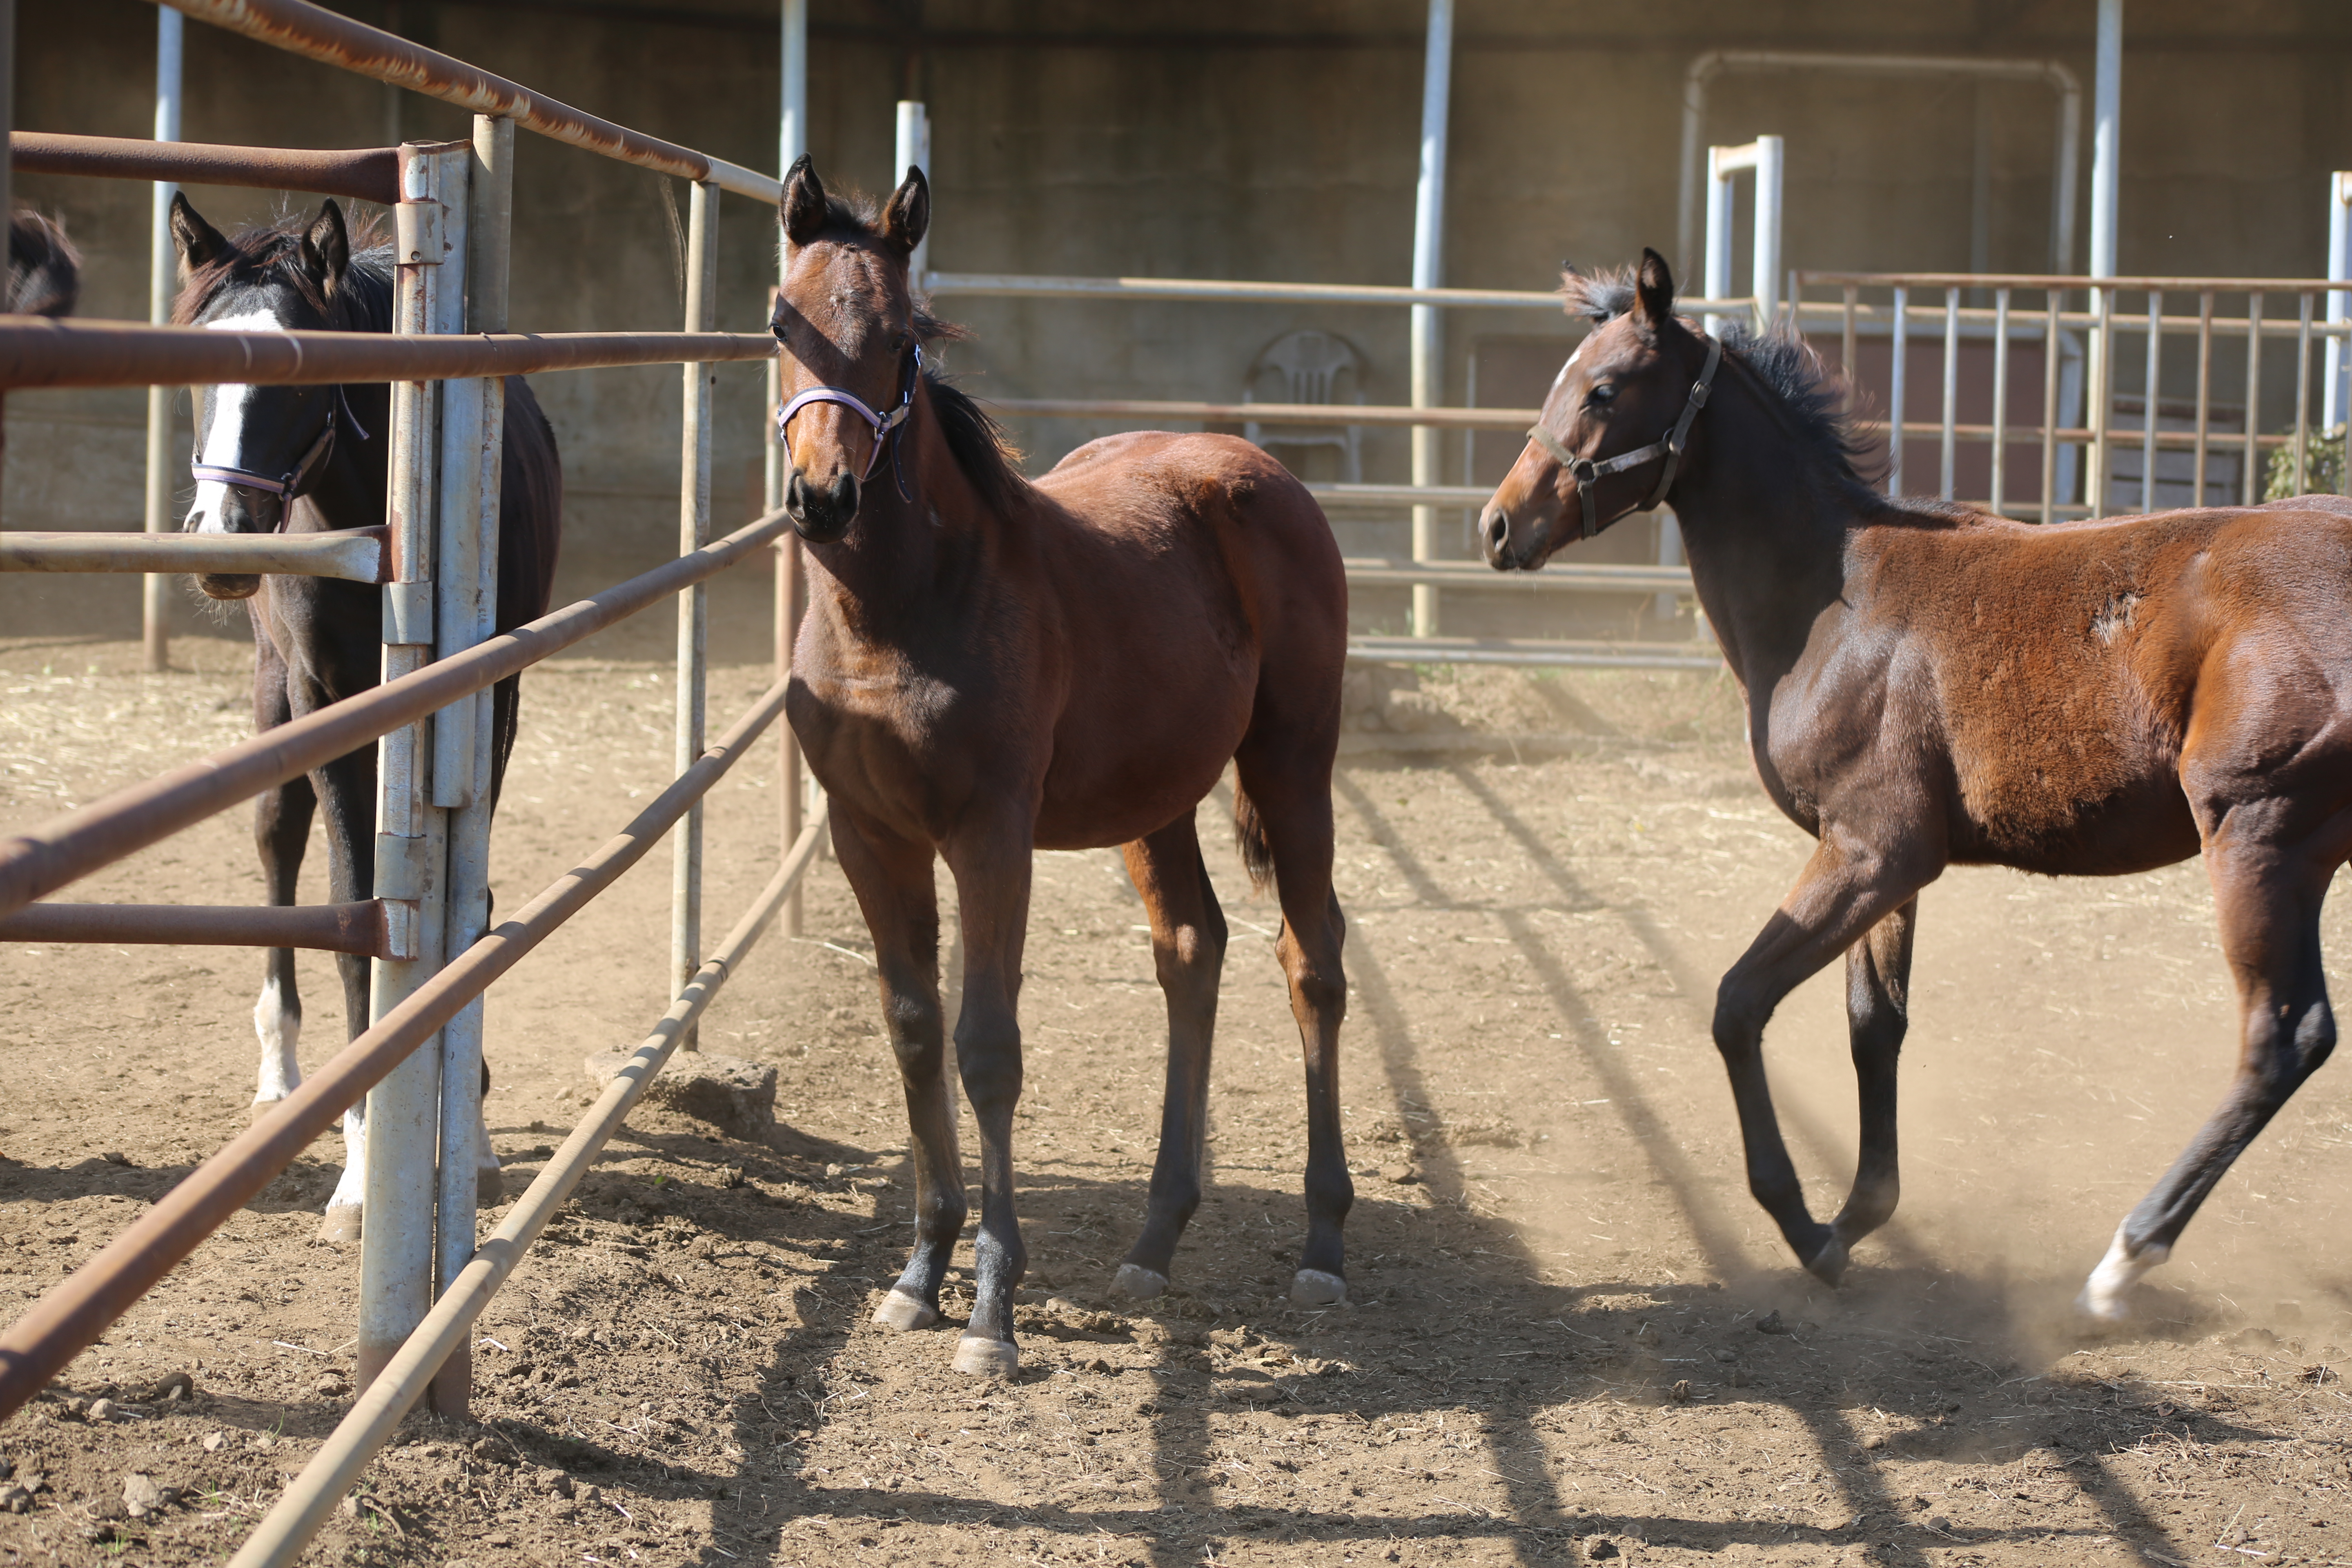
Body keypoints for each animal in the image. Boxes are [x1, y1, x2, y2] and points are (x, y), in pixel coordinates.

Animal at [169, 193, 564, 1241]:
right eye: (193, 362)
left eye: (303, 371)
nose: (222, 541)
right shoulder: (324, 697)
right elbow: (358, 911)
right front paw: (359, 1175)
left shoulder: (490, 696)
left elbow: (467, 906)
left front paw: (473, 1133)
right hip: (275, 697)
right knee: (277, 841)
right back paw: (280, 1076)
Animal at [776, 160, 1354, 1382]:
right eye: (779, 324)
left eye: (901, 337)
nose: (824, 498)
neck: (899, 608)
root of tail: (1259, 468)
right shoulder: (868, 833)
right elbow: (913, 1028)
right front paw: (920, 1272)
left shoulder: (990, 834)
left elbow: (987, 1047)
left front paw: (991, 1312)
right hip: (1157, 794)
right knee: (1192, 945)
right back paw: (1151, 1241)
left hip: (1292, 760)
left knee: (1310, 958)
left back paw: (1323, 1247)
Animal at [1477, 248, 2342, 1326]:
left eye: (1602, 389)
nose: (1498, 524)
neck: (1834, 599)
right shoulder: (1890, 867)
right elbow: (1872, 1028)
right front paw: (1857, 1220)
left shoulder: (1870, 849)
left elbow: (1738, 1004)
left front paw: (1802, 1226)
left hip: (2259, 832)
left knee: (2282, 1035)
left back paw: (2122, 1261)